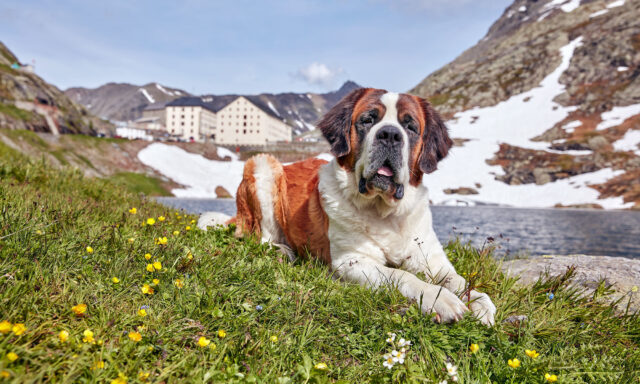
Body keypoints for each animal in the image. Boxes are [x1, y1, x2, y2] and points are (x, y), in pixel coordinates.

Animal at [200, 88, 496, 326]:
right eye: (368, 120)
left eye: (410, 127)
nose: (390, 135)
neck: (385, 214)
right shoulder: (351, 261)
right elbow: (400, 275)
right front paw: (441, 299)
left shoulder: (432, 261)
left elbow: (458, 280)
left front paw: (480, 302)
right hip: (262, 165)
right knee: (258, 237)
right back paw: (283, 250)